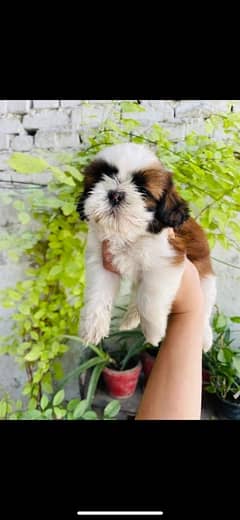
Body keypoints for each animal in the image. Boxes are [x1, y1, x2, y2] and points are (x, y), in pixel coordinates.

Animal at [78, 142, 217, 352]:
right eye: (102, 178)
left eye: (143, 191)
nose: (115, 194)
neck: (129, 236)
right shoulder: (102, 261)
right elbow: (99, 293)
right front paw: (93, 326)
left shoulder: (166, 261)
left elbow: (149, 300)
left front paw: (153, 331)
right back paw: (130, 319)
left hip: (205, 280)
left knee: (205, 308)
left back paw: (205, 337)